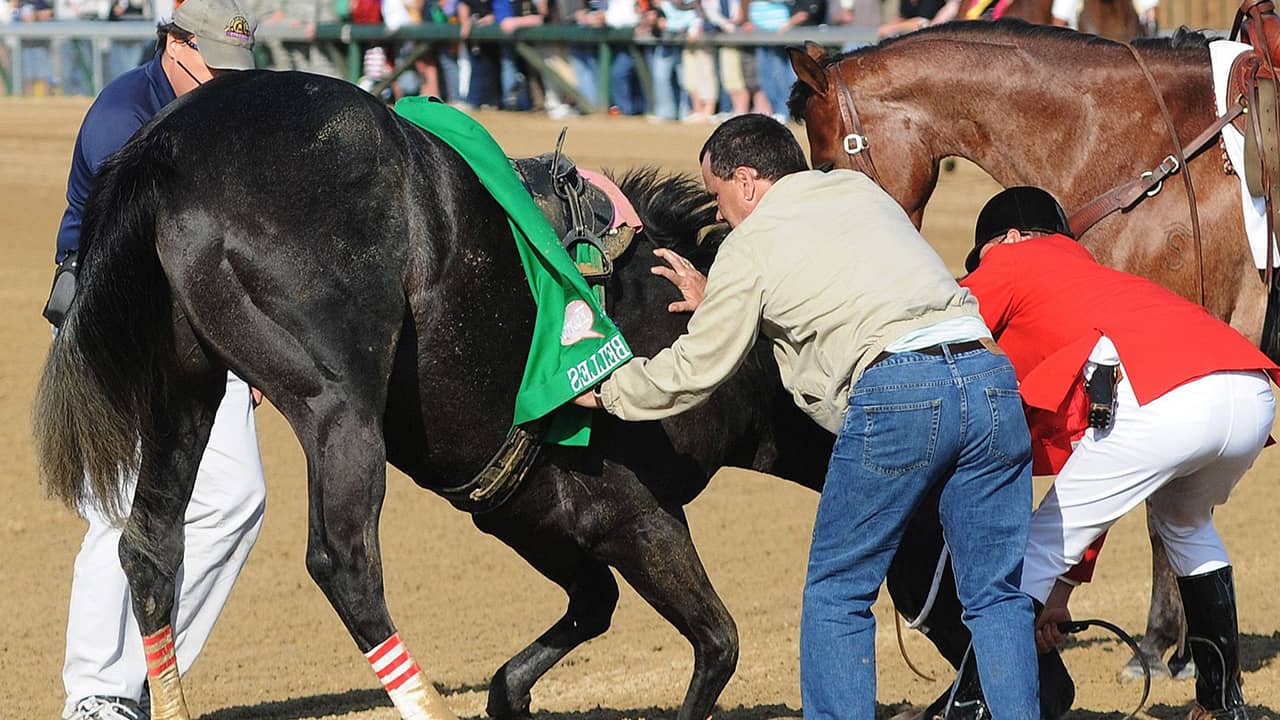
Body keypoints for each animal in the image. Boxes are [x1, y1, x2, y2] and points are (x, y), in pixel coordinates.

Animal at [33, 68, 878, 720]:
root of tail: (174, 142)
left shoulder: (532, 516)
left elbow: (585, 614)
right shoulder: (637, 514)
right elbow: (717, 641)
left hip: (185, 390)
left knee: (149, 549)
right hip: (338, 407)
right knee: (345, 564)